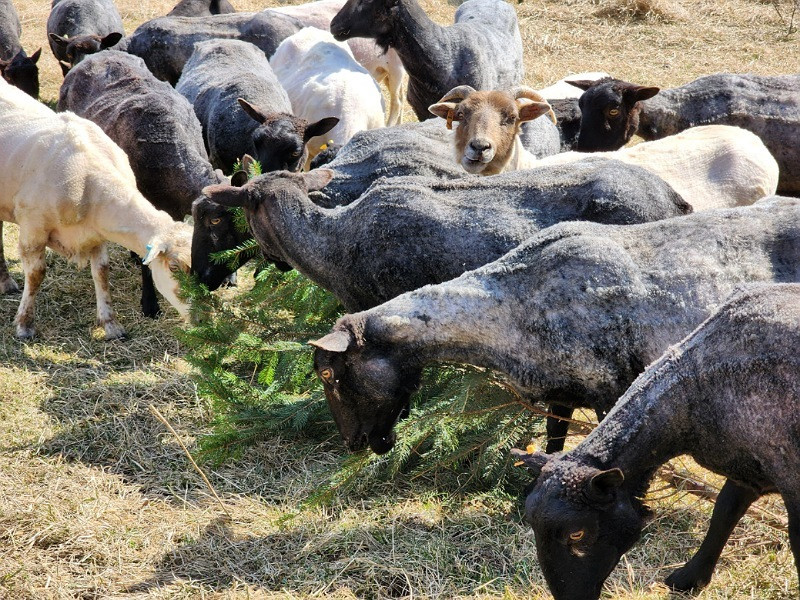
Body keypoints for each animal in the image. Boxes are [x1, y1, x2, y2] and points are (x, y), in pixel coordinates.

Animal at [0, 78, 192, 340]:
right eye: (173, 267)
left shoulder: (96, 232)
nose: (201, 317)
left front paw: (110, 324)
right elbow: (37, 274)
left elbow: (101, 272)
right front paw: (24, 325)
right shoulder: (33, 229)